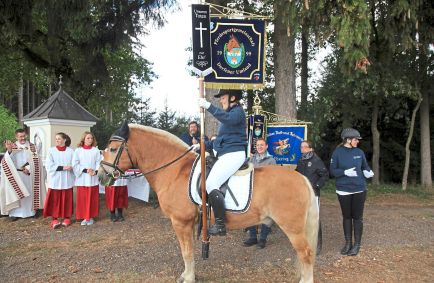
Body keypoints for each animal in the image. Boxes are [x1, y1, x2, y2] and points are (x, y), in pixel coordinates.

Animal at [98, 124, 318, 283]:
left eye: (113, 149)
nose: (101, 175)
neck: (175, 170)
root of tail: (301, 178)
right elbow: (188, 252)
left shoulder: (181, 222)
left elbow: (186, 252)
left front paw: (188, 278)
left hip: (293, 228)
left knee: (306, 254)